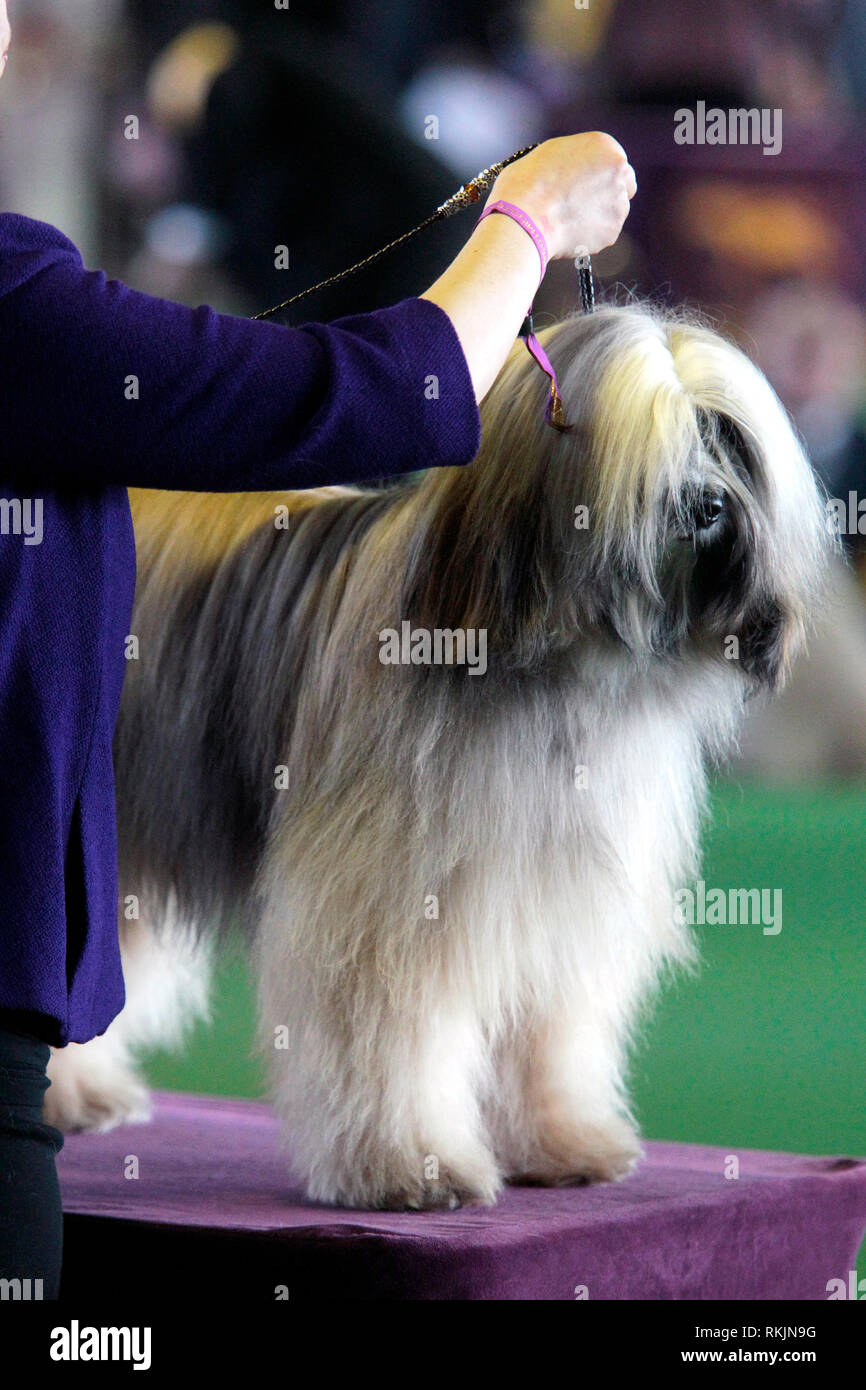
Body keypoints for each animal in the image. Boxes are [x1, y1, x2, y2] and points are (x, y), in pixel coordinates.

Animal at [45, 304, 834, 1206]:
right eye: (648, 442)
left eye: (724, 436)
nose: (707, 503)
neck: (557, 672)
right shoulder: (385, 903)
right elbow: (384, 1033)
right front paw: (407, 1166)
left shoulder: (561, 897)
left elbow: (547, 1033)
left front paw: (561, 1142)